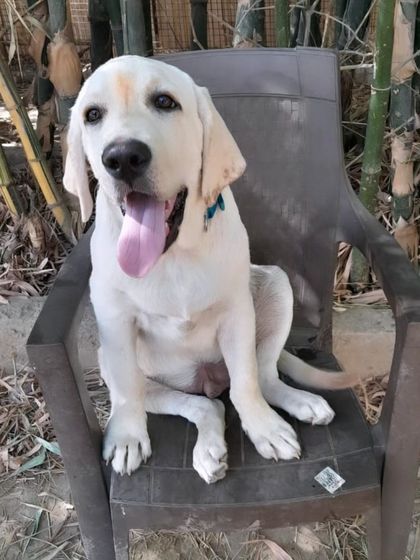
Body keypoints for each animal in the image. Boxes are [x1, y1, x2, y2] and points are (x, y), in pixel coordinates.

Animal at [63, 55, 356, 484]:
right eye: (93, 115)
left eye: (164, 102)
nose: (122, 158)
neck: (172, 256)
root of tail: (208, 379)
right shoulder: (114, 322)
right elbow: (127, 392)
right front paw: (128, 437)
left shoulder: (236, 313)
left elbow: (247, 383)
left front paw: (264, 429)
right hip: (117, 364)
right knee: (204, 406)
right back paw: (208, 447)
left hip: (276, 286)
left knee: (259, 378)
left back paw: (297, 404)